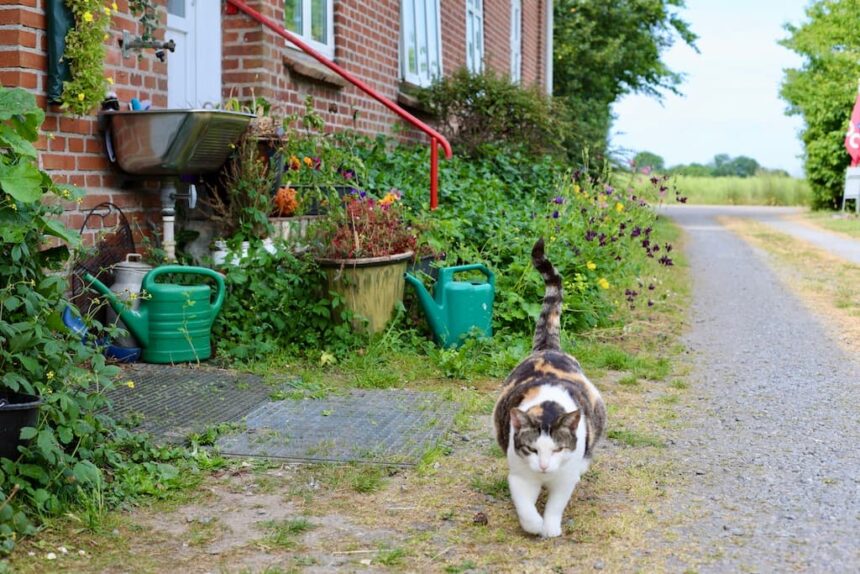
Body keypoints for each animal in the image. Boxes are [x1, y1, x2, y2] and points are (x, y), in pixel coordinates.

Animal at [494, 238, 608, 540]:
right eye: (533, 450)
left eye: (557, 450)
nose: (544, 466)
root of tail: (548, 347)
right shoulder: (519, 474)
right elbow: (524, 505)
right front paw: (534, 525)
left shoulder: (564, 477)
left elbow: (557, 503)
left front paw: (551, 526)